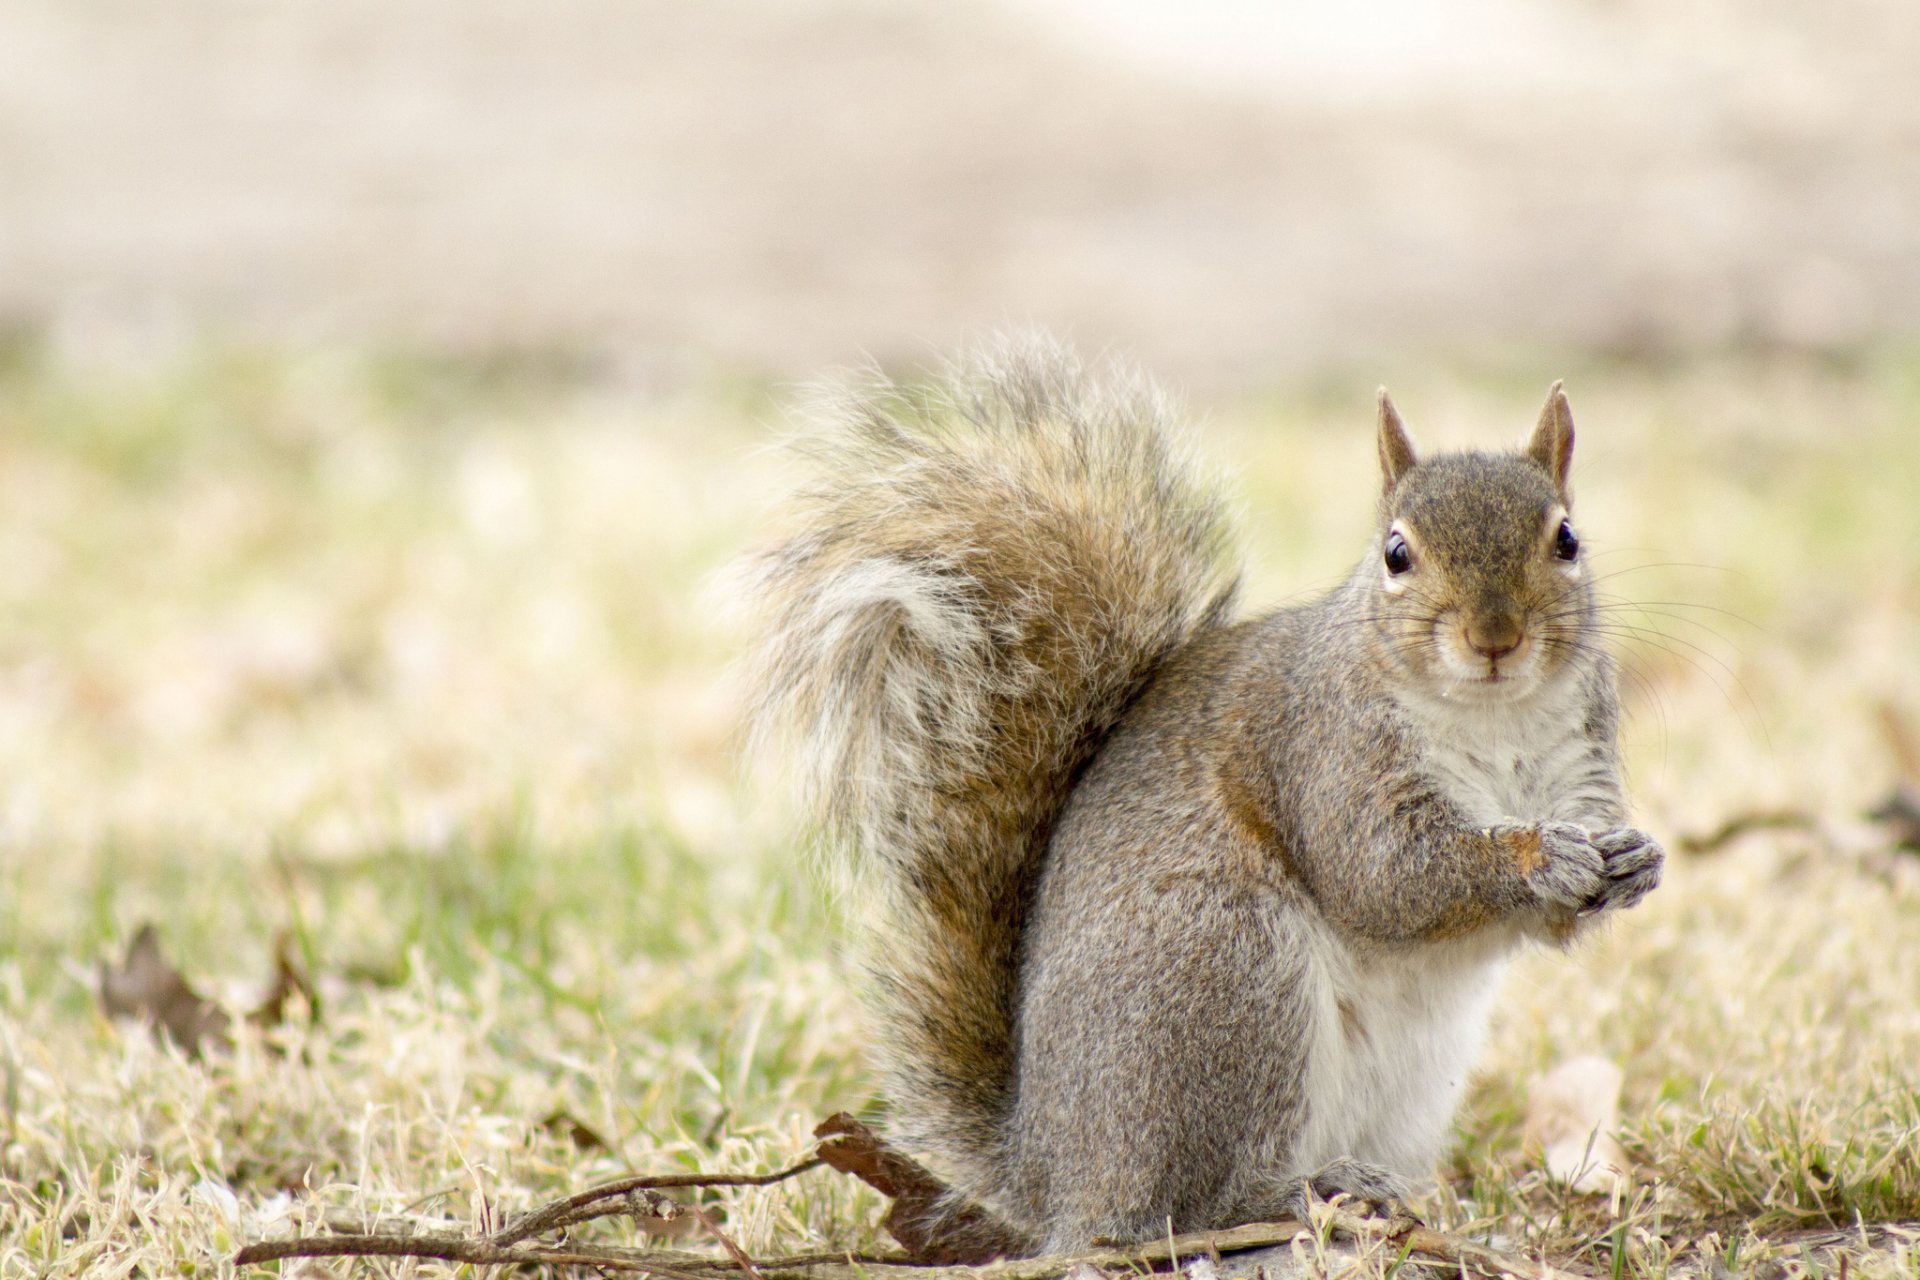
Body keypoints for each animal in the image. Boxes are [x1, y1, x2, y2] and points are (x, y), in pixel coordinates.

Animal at [737, 336, 1664, 1256]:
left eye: (1567, 539)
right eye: (1396, 554)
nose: (1495, 636)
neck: (1494, 717)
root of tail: (1049, 1173)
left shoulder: (1579, 761)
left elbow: (1556, 917)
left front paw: (1633, 859)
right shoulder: (1324, 752)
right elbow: (1387, 877)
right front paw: (1536, 855)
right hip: (1225, 972)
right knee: (1192, 1204)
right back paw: (1306, 1190)